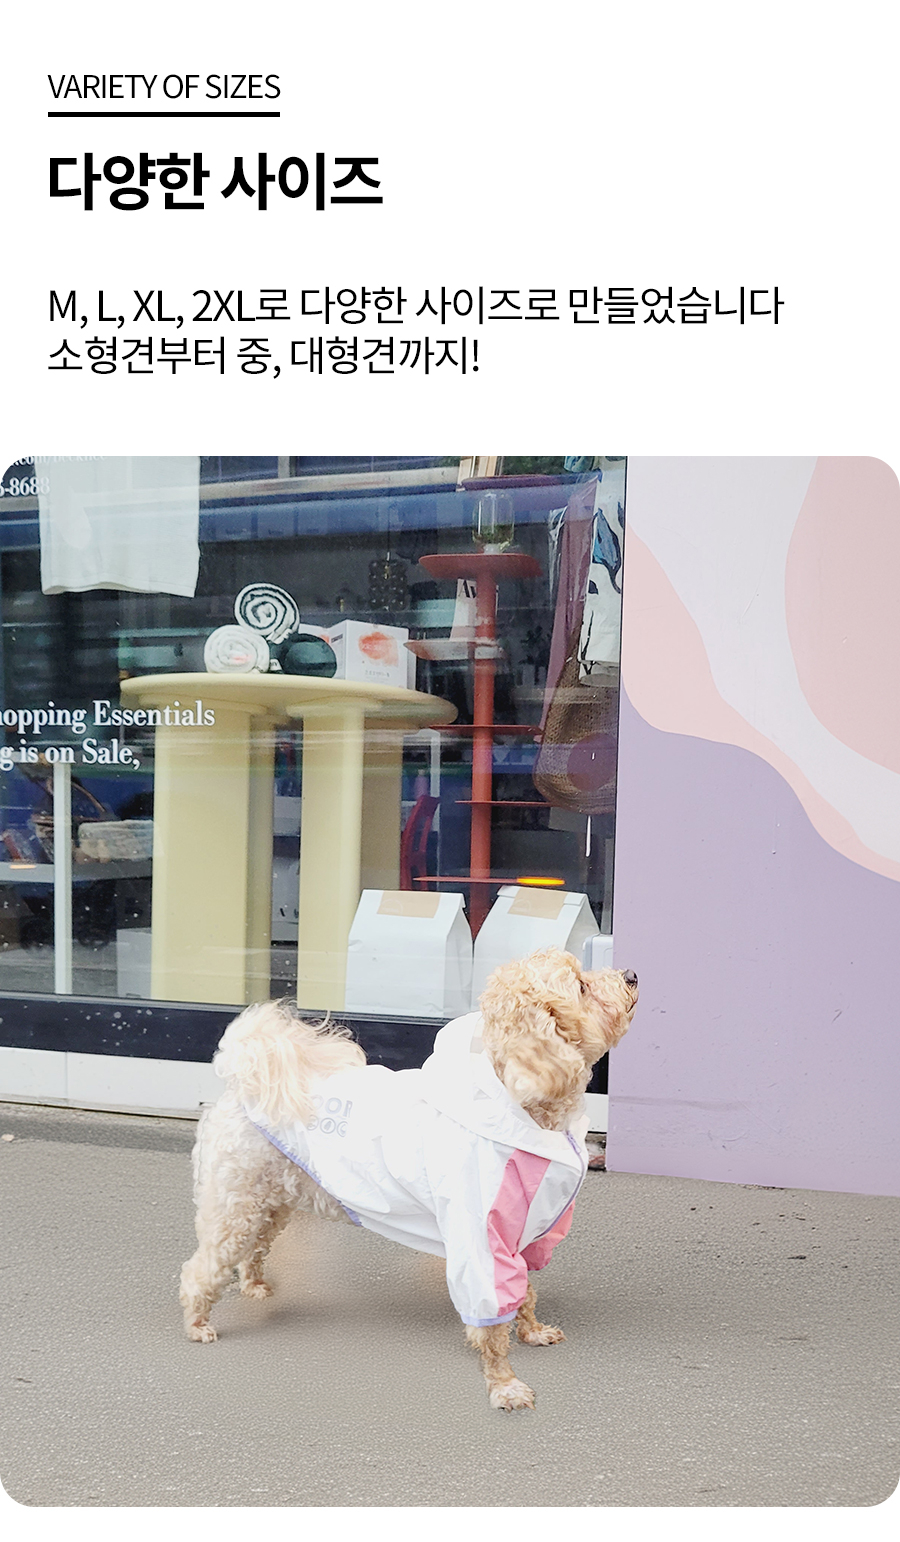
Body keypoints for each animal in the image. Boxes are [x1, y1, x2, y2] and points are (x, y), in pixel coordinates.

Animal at [179, 946, 638, 1410]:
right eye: (580, 985)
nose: (632, 974)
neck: (520, 1101)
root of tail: (241, 1085)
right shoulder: (479, 1240)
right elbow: (491, 1321)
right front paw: (503, 1384)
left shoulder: (521, 1234)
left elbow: (524, 1292)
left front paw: (531, 1331)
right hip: (233, 1209)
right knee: (202, 1268)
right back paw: (197, 1322)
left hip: (270, 1203)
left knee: (254, 1249)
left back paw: (254, 1285)